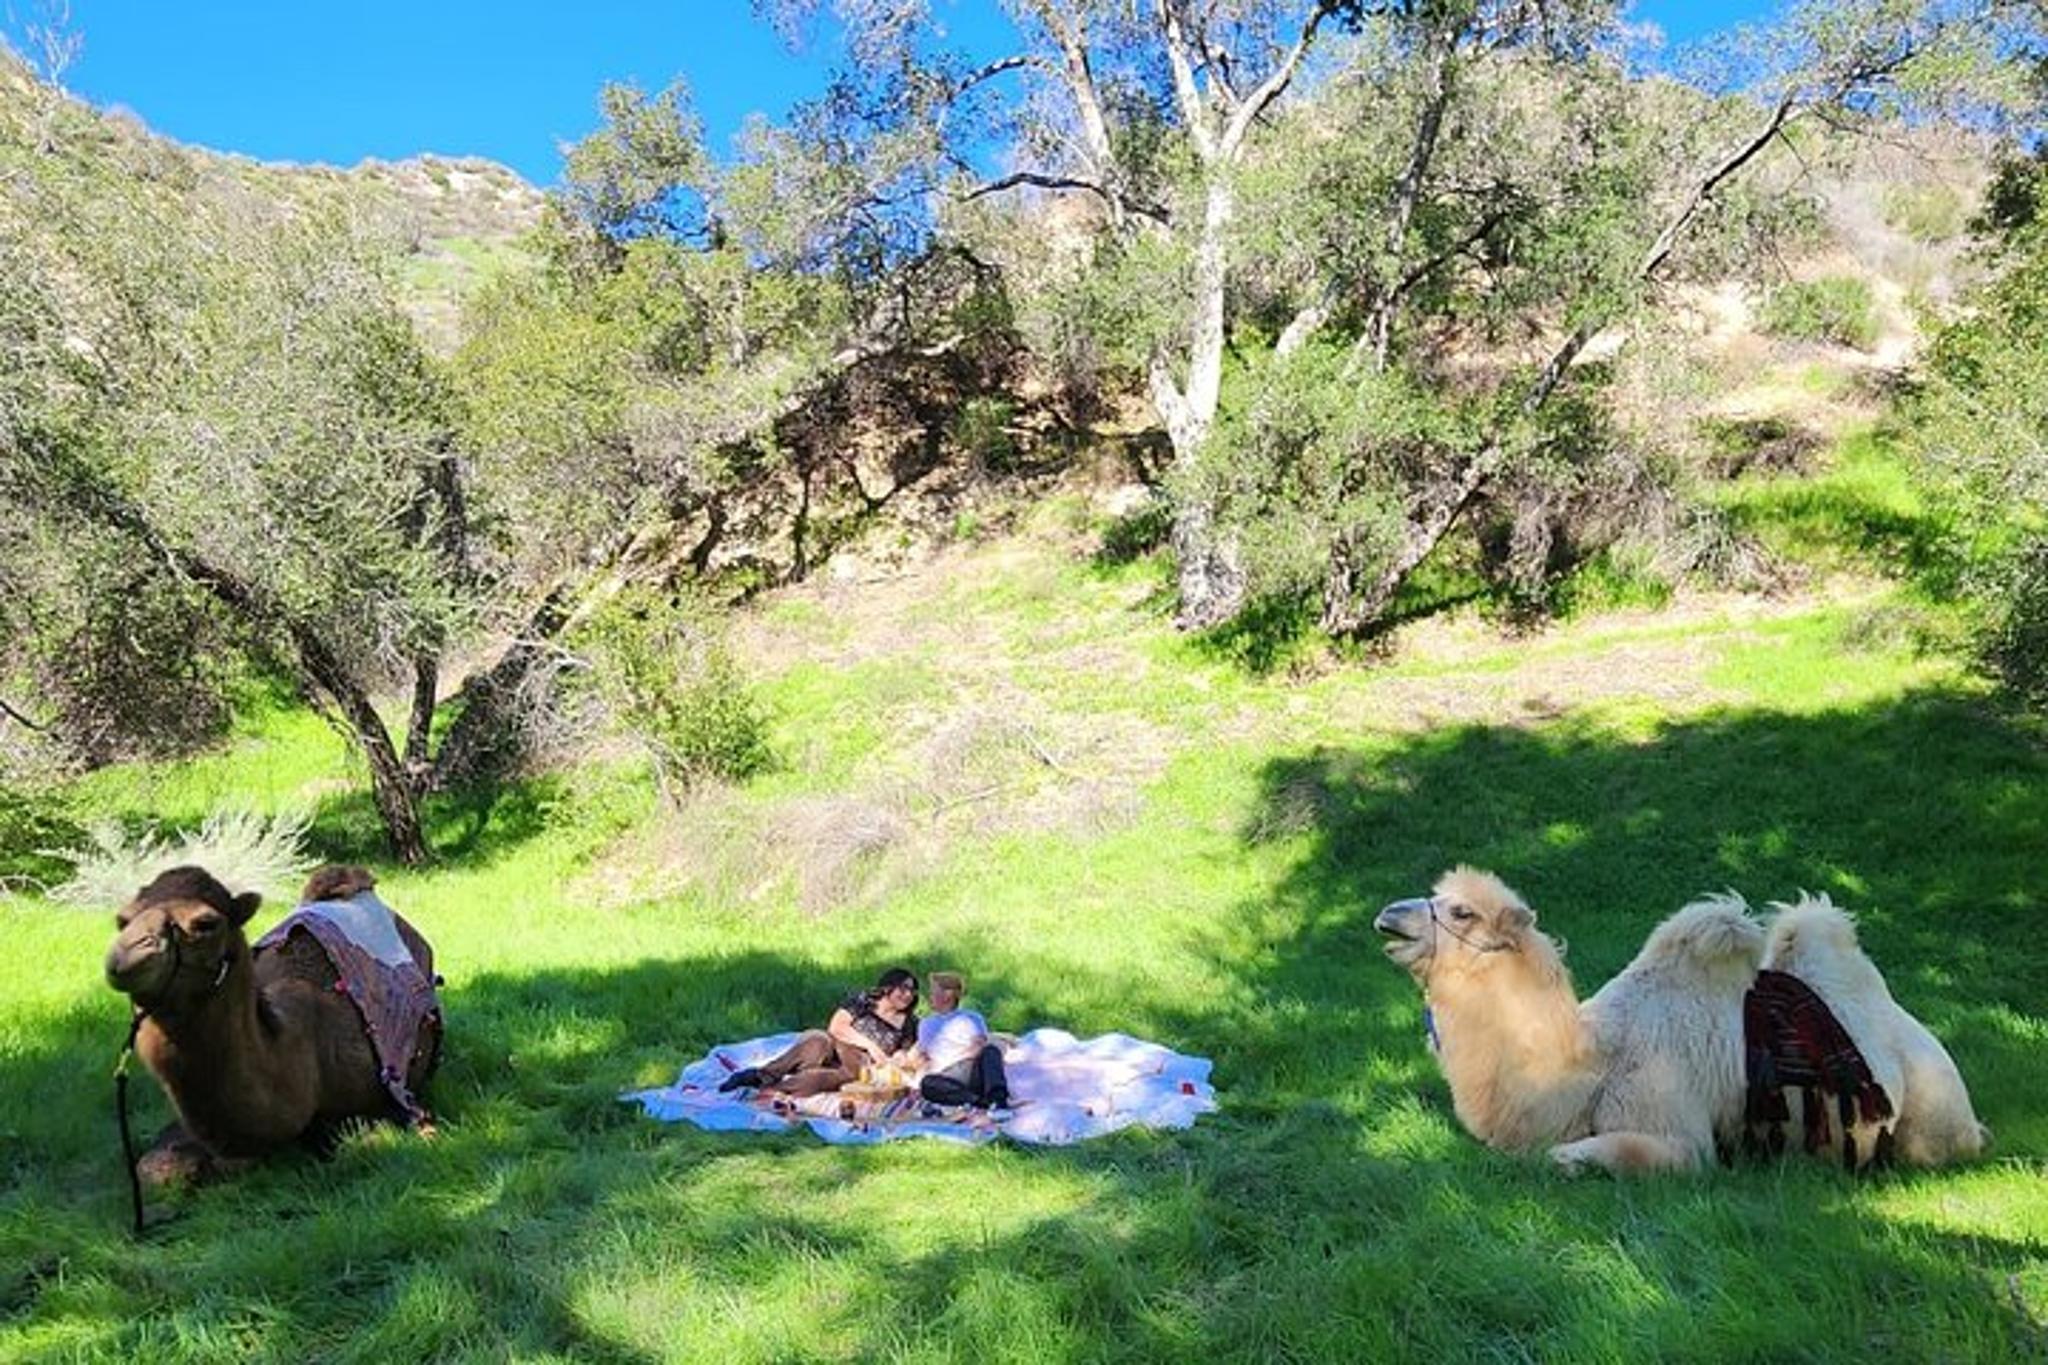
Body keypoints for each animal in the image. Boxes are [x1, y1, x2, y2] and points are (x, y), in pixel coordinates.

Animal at [1374, 867, 1985, 1175]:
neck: (1589, 1064)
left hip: (1932, 1120)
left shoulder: (1674, 1127)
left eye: (1461, 912)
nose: (1387, 915)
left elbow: (1572, 1156)